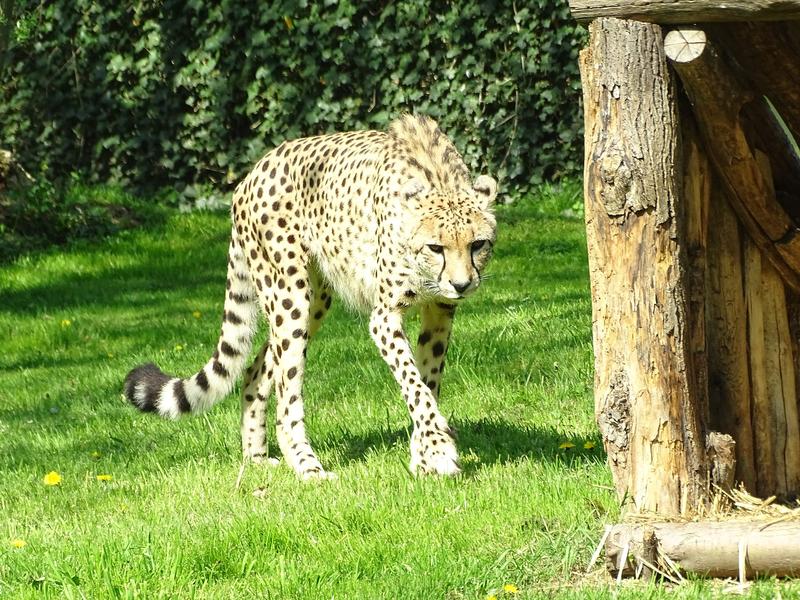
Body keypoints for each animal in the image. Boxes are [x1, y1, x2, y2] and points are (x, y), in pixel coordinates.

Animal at [124, 113, 494, 478]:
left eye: (477, 244)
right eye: (435, 247)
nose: (462, 284)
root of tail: (252, 174)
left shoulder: (441, 312)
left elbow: (428, 380)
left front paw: (424, 455)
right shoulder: (385, 316)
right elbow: (414, 383)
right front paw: (439, 449)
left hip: (314, 300)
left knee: (257, 370)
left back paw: (256, 458)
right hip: (290, 296)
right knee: (286, 397)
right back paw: (306, 466)